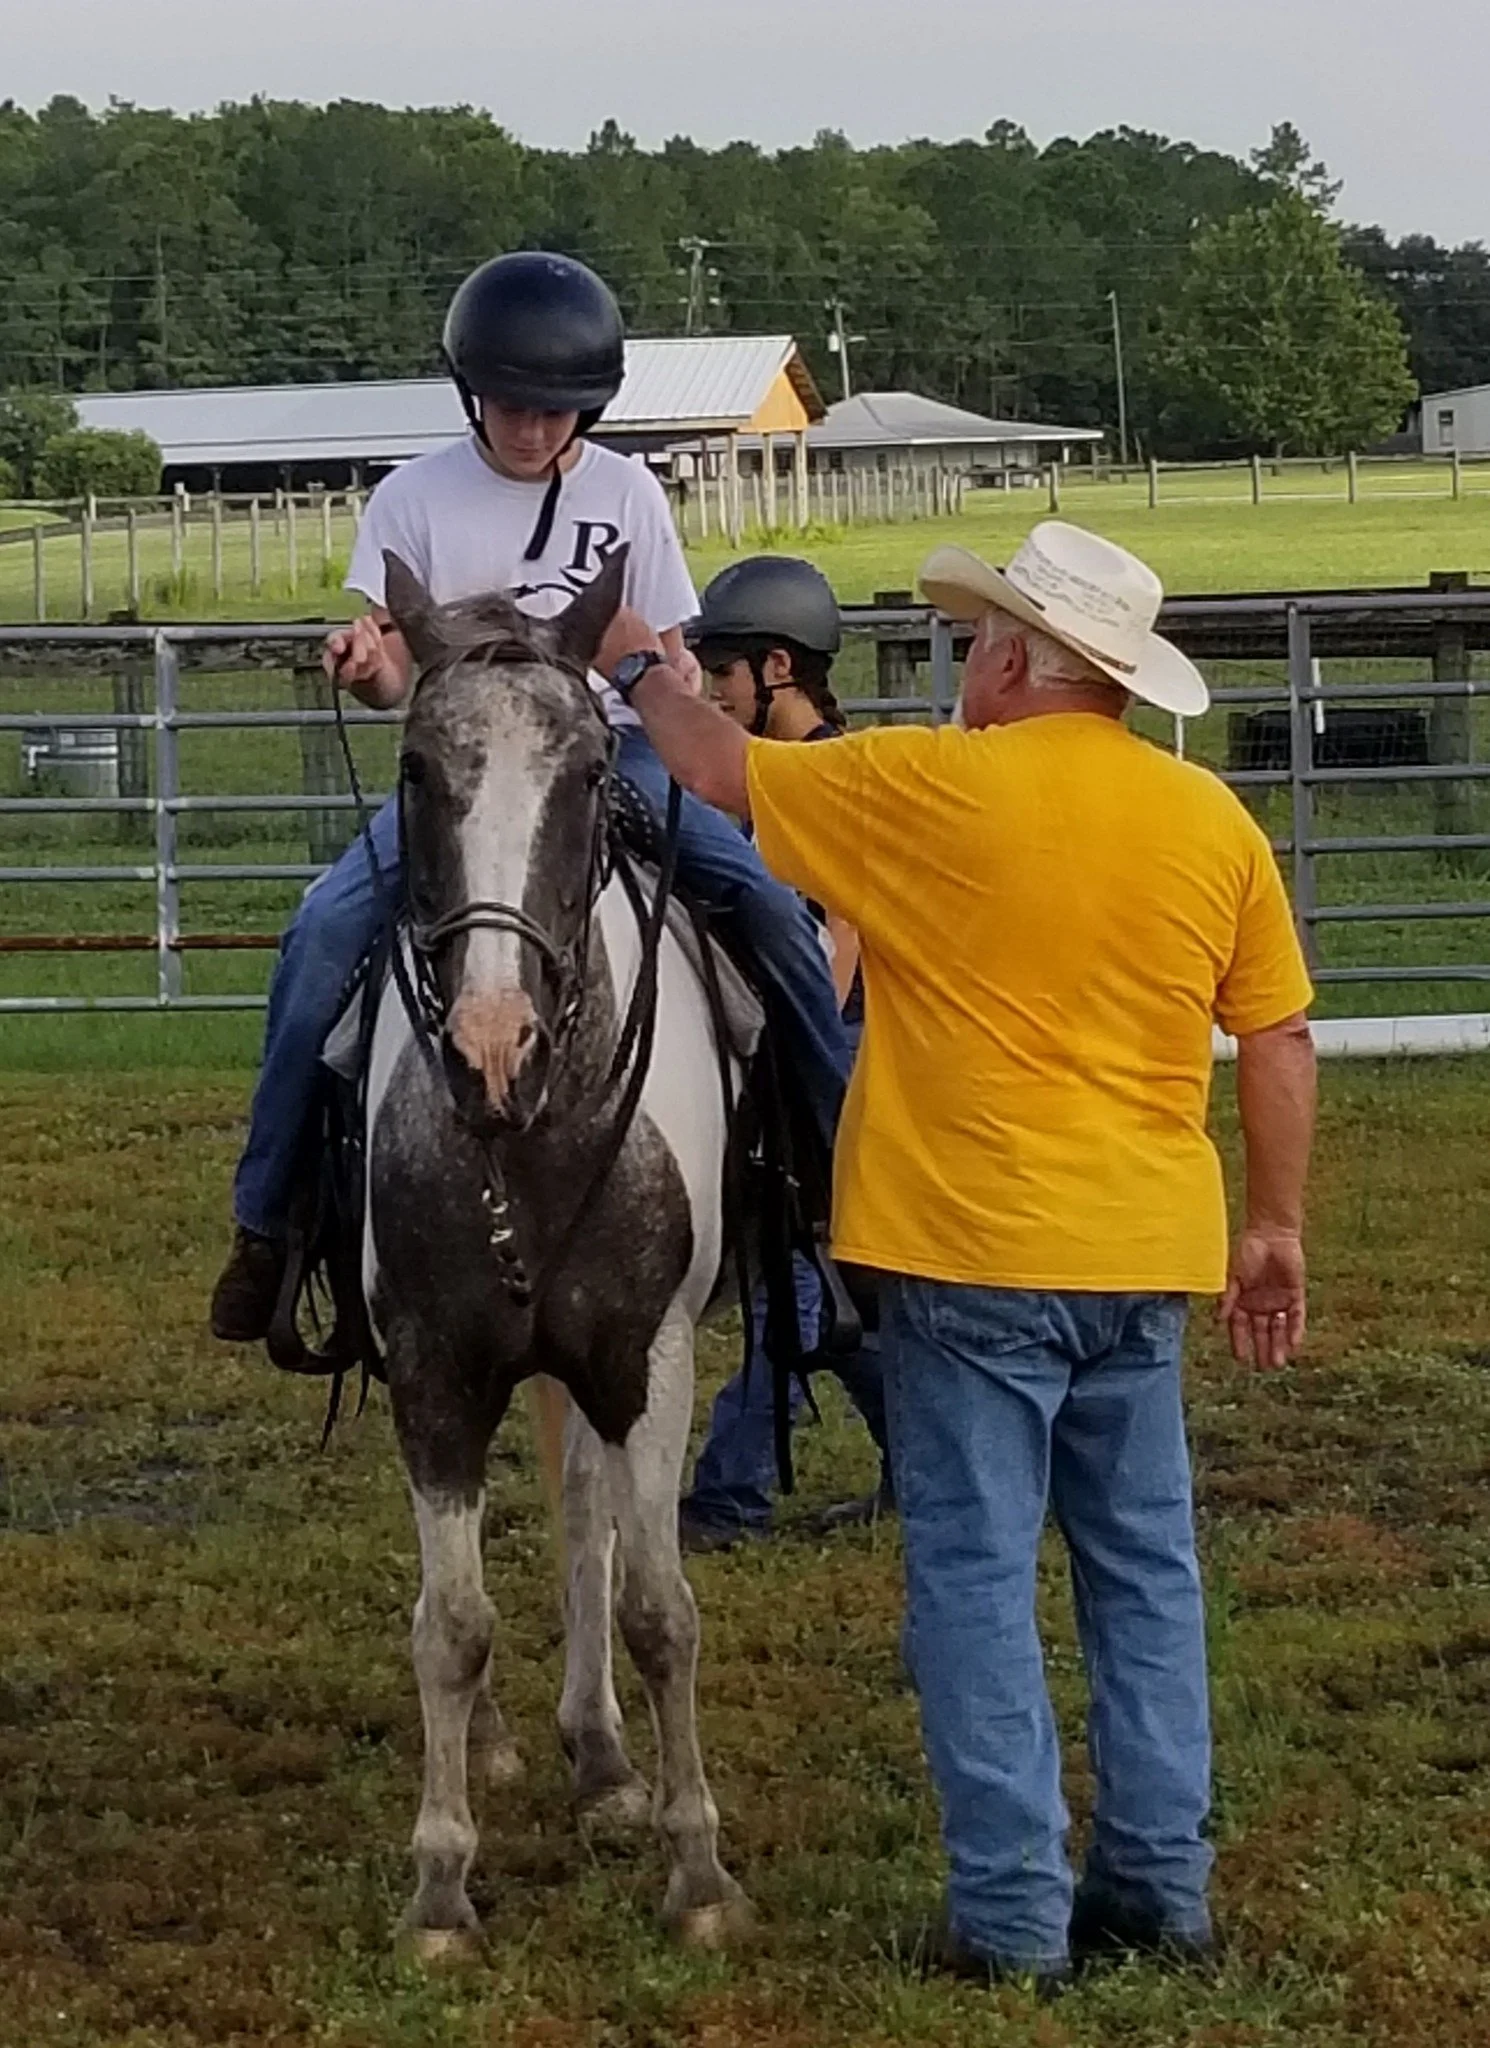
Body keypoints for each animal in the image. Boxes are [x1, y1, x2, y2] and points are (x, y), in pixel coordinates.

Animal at [360, 547, 750, 1958]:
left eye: (586, 770)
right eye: (420, 769)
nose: (493, 1043)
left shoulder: (645, 1359)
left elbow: (657, 1607)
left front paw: (697, 1867)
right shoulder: (431, 1371)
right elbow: (450, 1622)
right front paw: (437, 1885)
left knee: (589, 1522)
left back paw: (606, 1758)